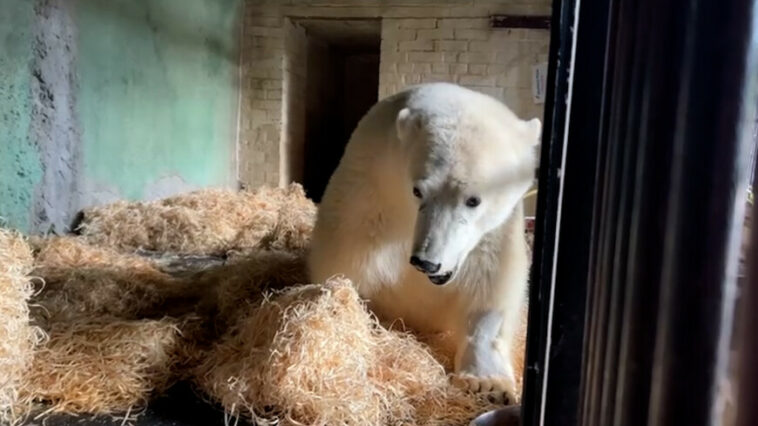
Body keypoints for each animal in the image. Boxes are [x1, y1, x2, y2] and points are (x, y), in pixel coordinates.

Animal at [308, 81, 540, 404]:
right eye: (418, 190)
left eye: (473, 200)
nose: (426, 262)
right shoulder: (372, 190)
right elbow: (346, 266)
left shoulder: (497, 230)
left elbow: (490, 287)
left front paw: (488, 384)